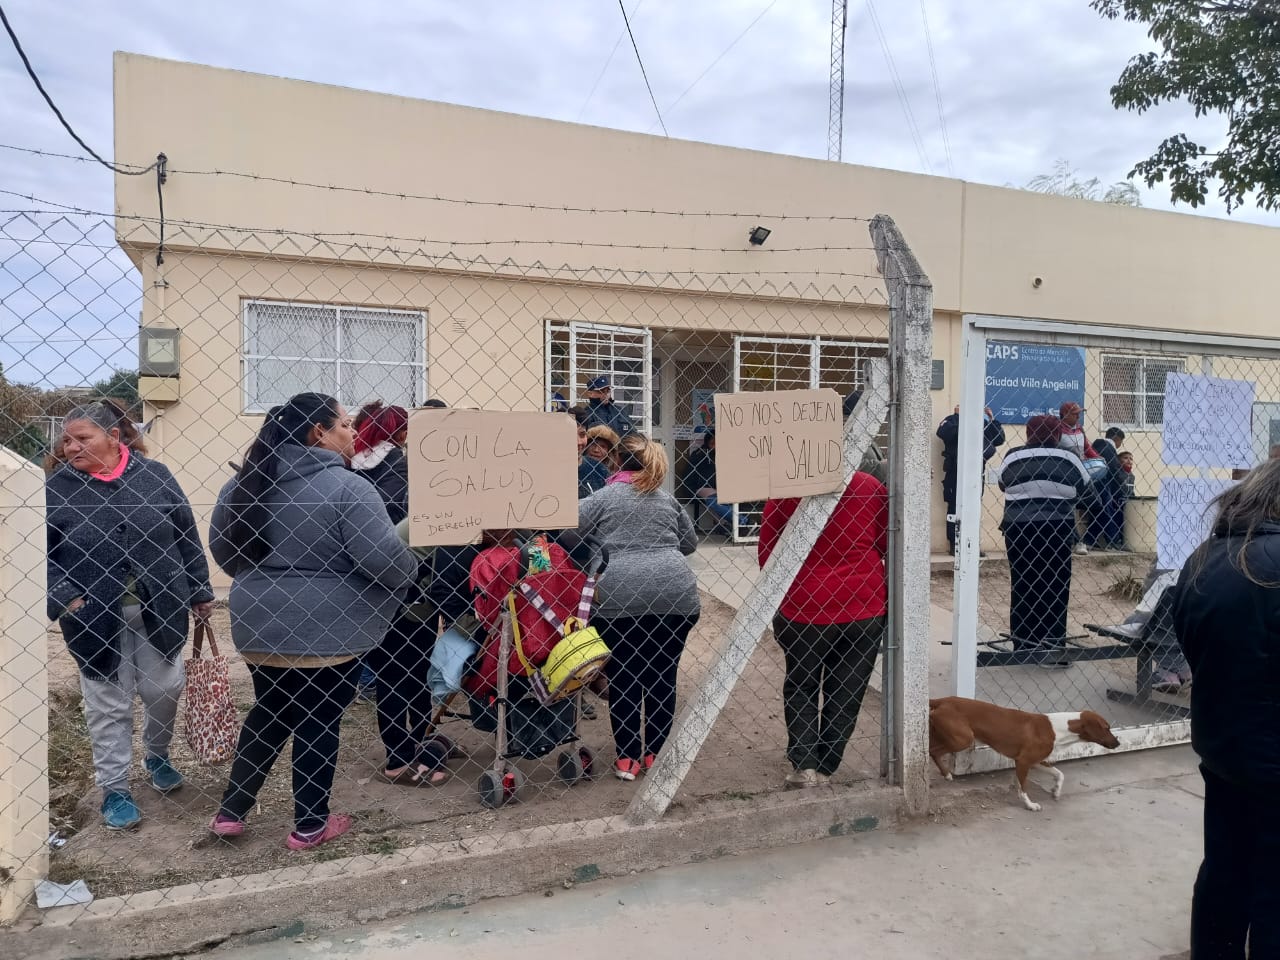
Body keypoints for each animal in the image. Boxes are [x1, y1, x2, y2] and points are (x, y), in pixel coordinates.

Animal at [931, 701, 1121, 814]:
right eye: (1106, 728)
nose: (1118, 743)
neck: (1059, 728)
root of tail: (942, 700)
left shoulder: (1036, 761)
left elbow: (1059, 774)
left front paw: (1056, 791)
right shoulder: (1023, 762)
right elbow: (1023, 788)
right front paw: (1030, 805)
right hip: (963, 739)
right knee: (933, 751)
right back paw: (946, 773)